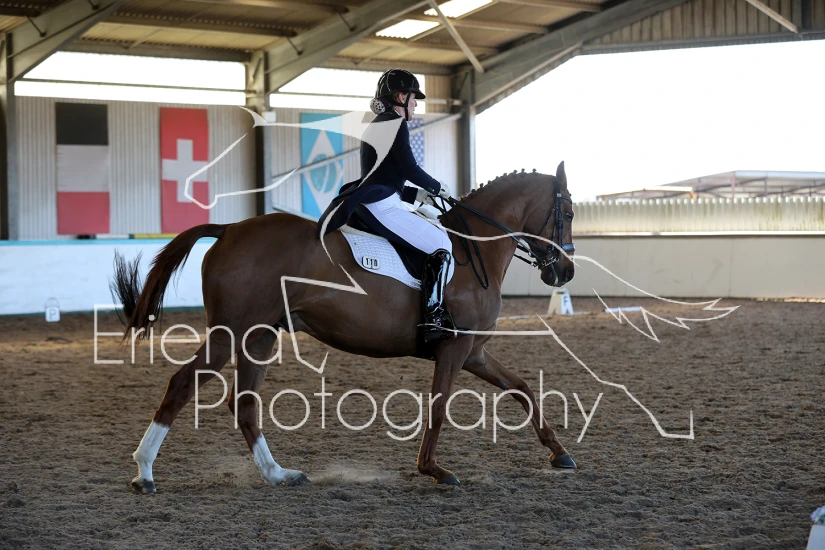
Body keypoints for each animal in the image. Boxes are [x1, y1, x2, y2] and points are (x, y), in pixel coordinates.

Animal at [111, 162, 576, 493]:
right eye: (568, 212)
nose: (566, 272)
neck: (471, 248)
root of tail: (228, 230)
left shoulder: (473, 351)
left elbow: (521, 387)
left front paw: (560, 454)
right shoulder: (454, 349)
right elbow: (440, 407)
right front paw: (433, 470)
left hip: (260, 336)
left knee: (243, 405)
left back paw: (279, 474)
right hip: (231, 333)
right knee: (182, 384)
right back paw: (144, 473)